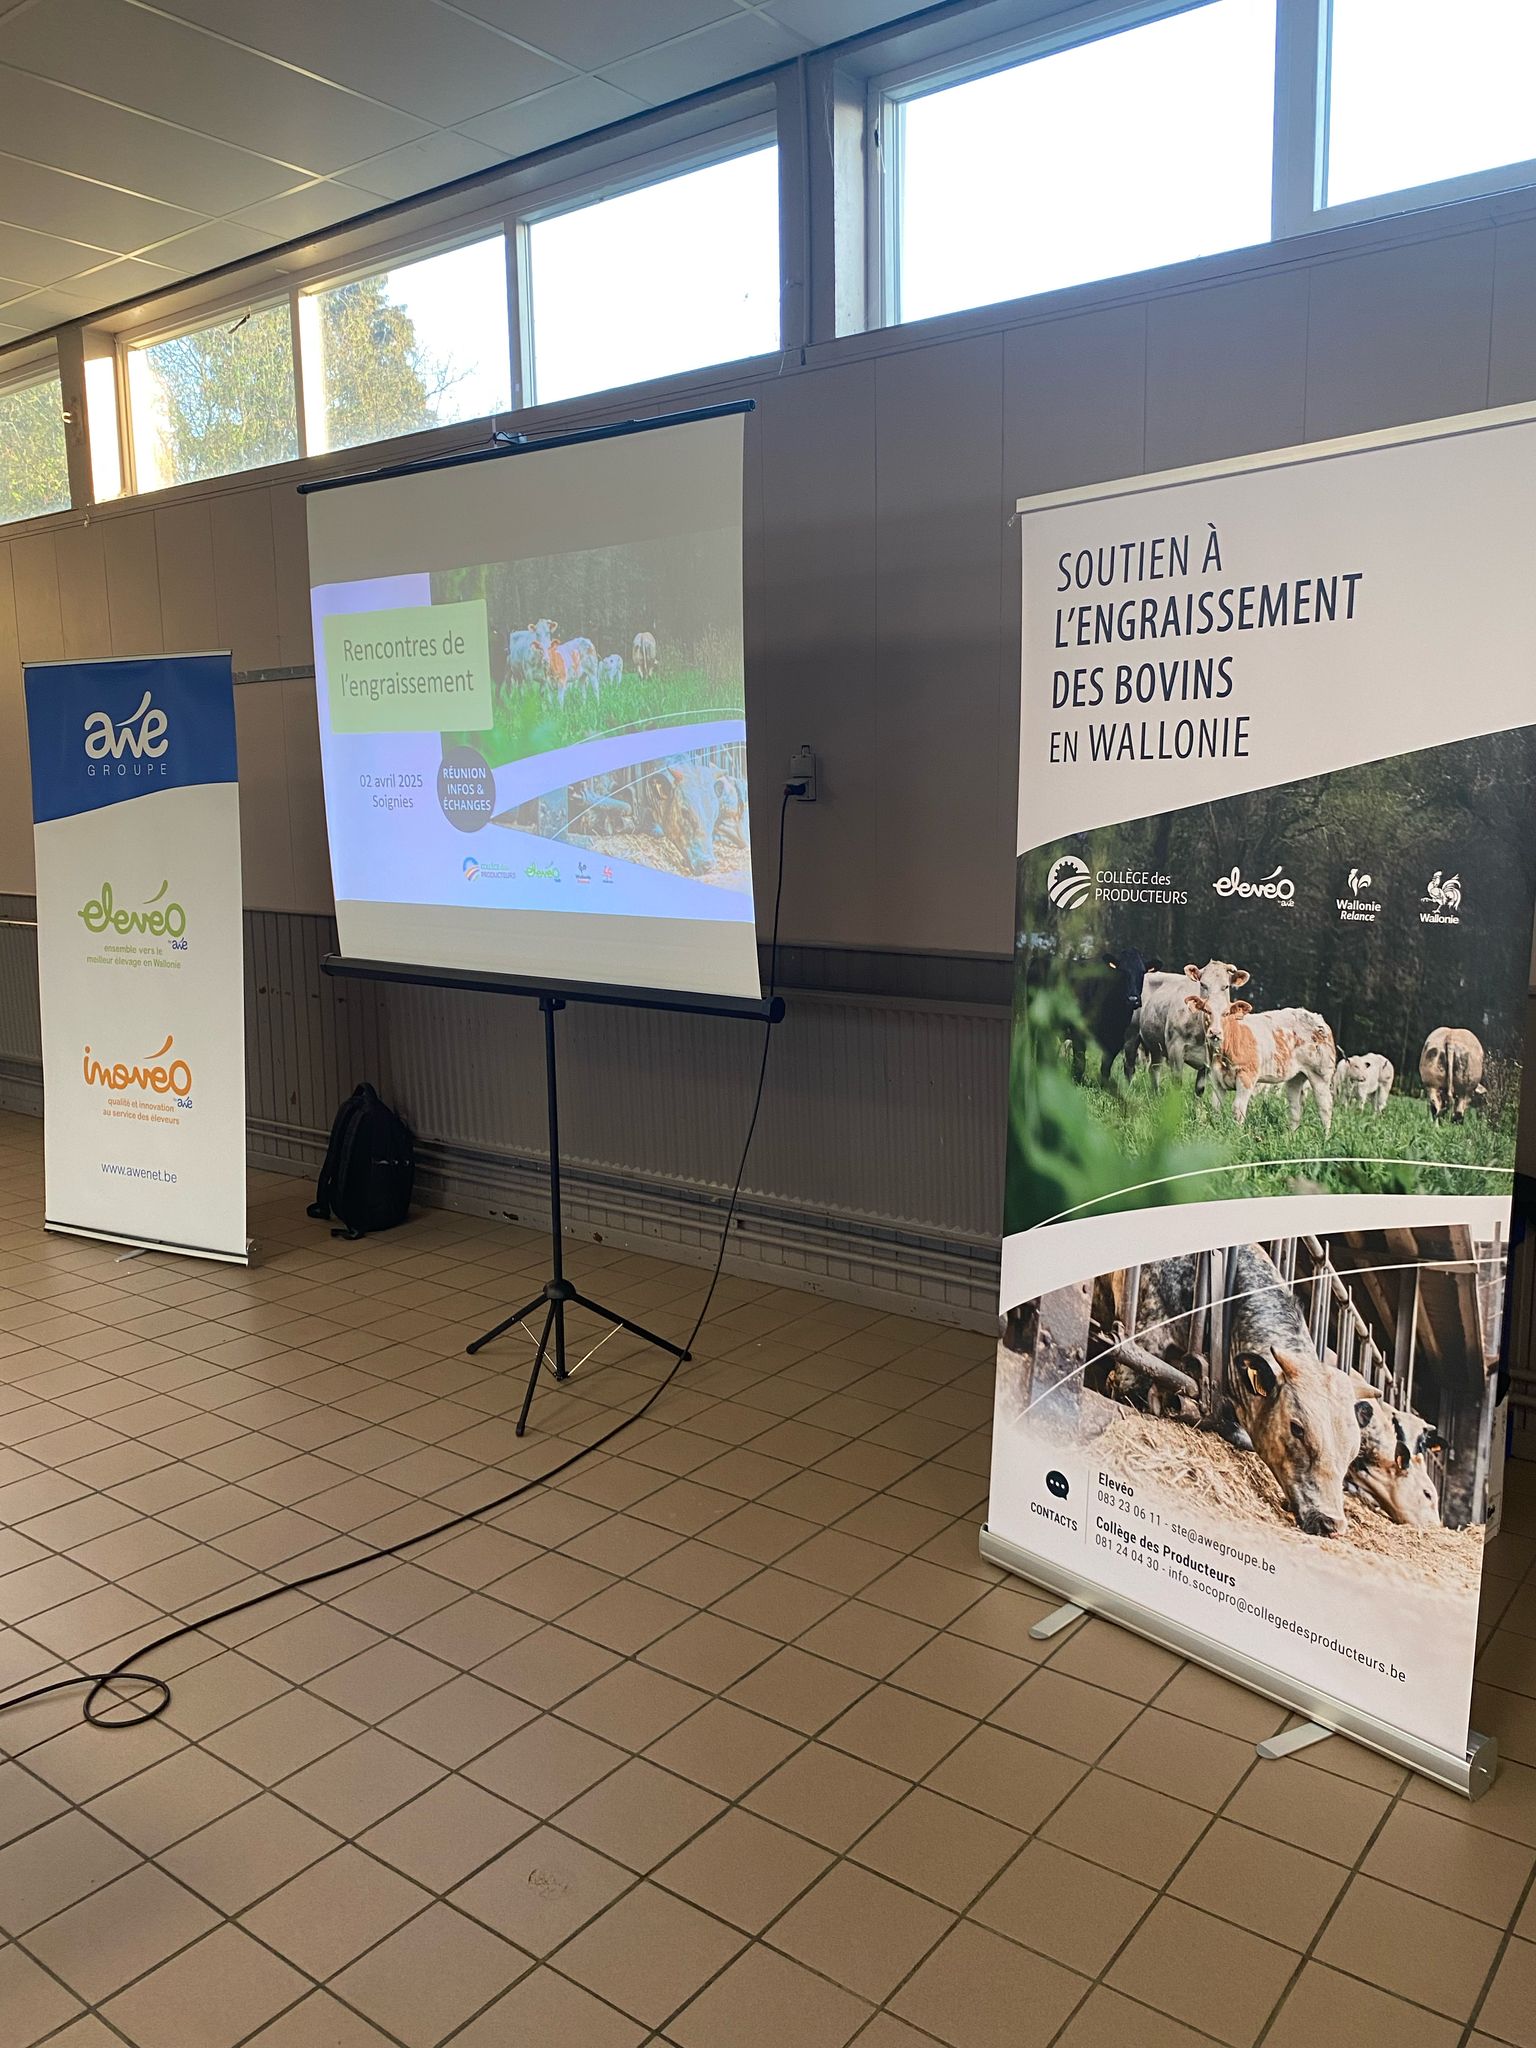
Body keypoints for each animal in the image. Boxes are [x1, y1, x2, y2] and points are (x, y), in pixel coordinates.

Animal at [1131, 961, 1249, 1098]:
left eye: (1226, 986)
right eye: (1203, 984)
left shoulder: (1209, 1059)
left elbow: (1199, 1089)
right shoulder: (1175, 1049)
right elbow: (1177, 1083)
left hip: (1156, 1047)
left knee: (1154, 1069)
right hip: (1131, 1036)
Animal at [1197, 1002, 1336, 1135]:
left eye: (1226, 1013)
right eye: (1206, 1011)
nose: (1215, 1033)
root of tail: (1317, 1018)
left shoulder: (1246, 1077)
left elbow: (1238, 1109)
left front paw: (1236, 1134)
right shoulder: (1216, 1079)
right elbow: (1216, 1107)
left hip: (1320, 1075)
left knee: (1325, 1107)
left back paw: (1325, 1137)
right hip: (1296, 1077)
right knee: (1295, 1108)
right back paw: (1291, 1136)